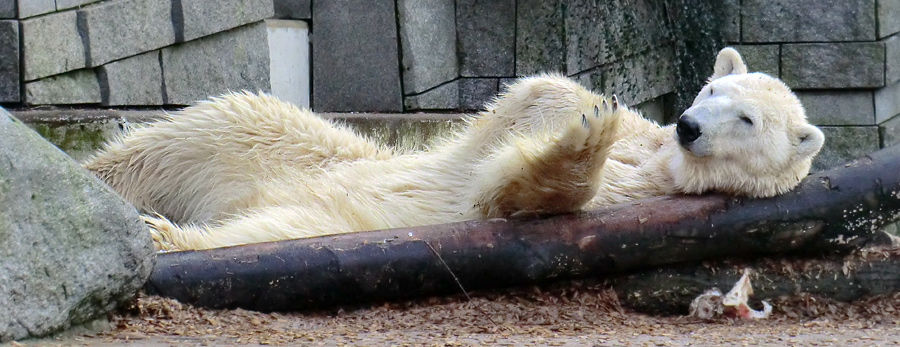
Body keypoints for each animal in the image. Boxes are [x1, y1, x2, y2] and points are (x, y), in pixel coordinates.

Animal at [82, 47, 824, 251]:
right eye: (710, 88)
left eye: (748, 119)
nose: (690, 126)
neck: (662, 161)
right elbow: (533, 98)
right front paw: (591, 111)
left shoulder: (638, 196)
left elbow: (518, 197)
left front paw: (586, 138)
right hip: (281, 146)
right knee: (194, 130)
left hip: (327, 213)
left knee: (263, 231)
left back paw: (163, 234)